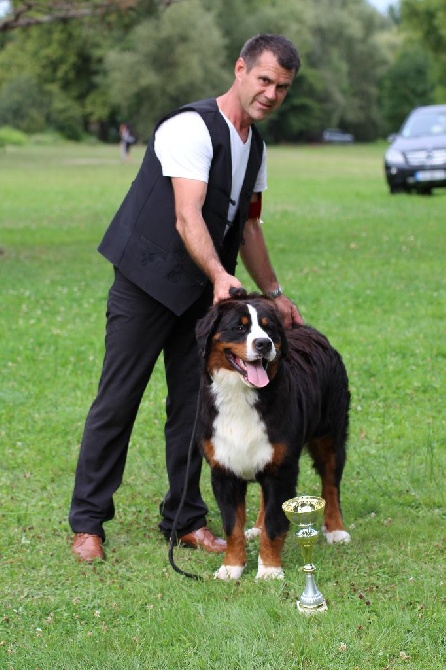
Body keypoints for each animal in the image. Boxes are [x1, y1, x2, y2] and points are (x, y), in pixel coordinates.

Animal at [197, 292, 350, 580]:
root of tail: (307, 329)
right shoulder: (224, 470)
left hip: (330, 437)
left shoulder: (282, 469)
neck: (241, 397)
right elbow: (232, 526)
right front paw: (231, 567)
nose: (263, 343)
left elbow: (274, 524)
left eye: (269, 329)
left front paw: (269, 569)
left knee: (331, 484)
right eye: (240, 327)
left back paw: (336, 530)